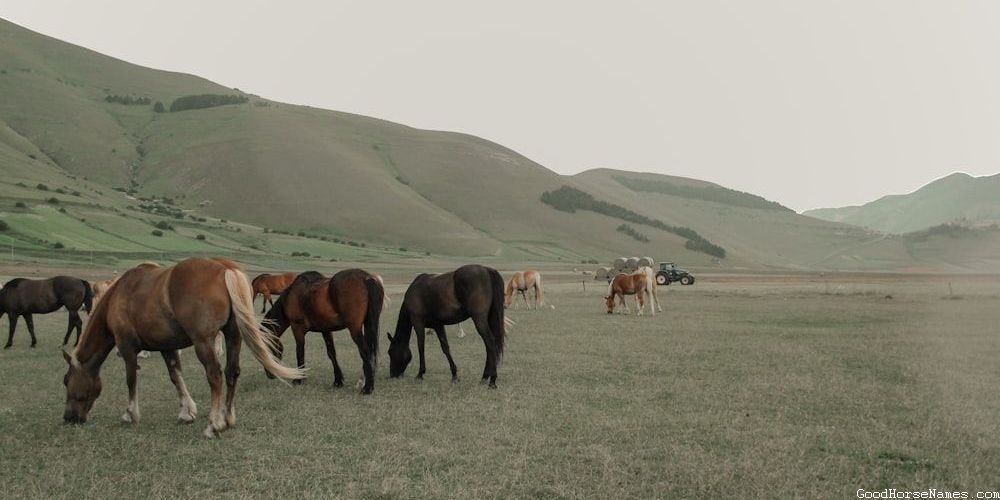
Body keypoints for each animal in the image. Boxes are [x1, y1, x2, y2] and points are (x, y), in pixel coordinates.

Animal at [61, 257, 304, 438]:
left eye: (66, 380)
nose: (69, 418)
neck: (119, 295)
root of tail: (225, 268)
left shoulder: (127, 347)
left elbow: (131, 380)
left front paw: (130, 414)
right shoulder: (167, 347)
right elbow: (175, 376)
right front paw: (187, 411)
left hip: (203, 341)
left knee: (215, 375)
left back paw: (214, 424)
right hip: (233, 335)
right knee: (232, 372)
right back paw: (227, 418)